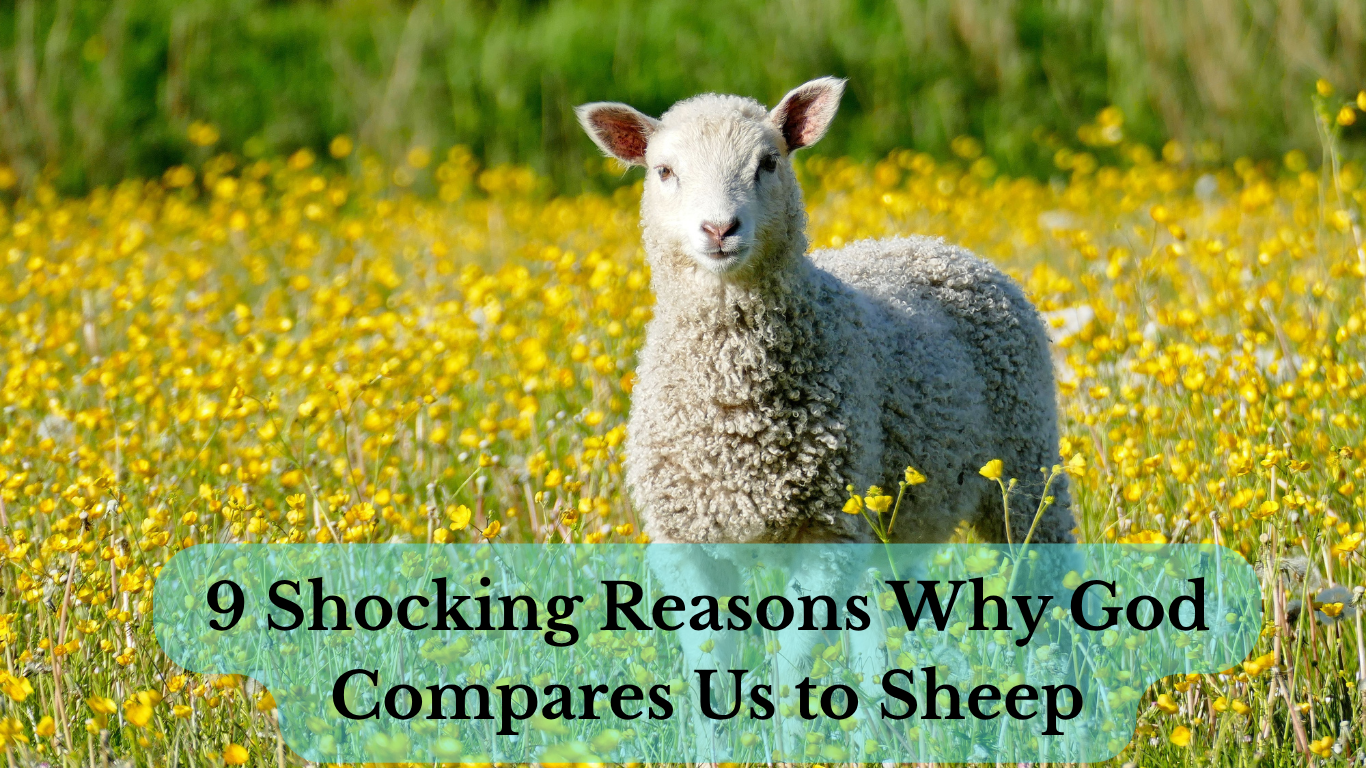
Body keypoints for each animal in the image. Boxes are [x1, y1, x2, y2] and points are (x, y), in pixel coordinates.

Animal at [576, 78, 1076, 758]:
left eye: (768, 162)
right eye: (664, 171)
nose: (719, 228)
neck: (736, 420)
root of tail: (933, 244)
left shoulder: (825, 537)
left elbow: (790, 669)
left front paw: (789, 751)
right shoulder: (688, 543)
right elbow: (709, 669)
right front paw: (717, 756)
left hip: (1026, 467)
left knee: (1052, 592)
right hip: (896, 526)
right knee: (884, 631)